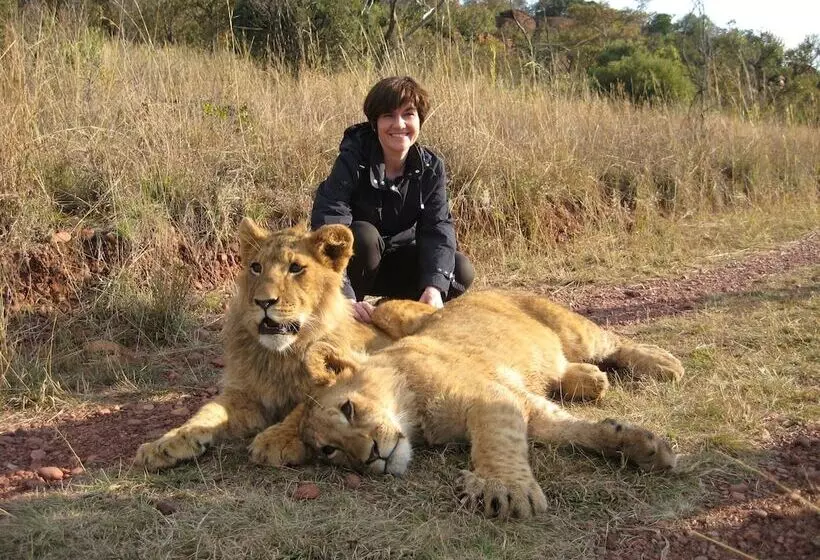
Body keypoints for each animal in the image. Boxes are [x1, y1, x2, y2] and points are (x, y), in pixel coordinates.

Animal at [135, 218, 434, 471]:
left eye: (296, 268)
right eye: (256, 267)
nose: (263, 302)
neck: (279, 356)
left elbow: (301, 408)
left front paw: (275, 439)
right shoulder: (245, 394)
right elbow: (207, 411)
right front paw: (166, 443)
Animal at [299, 290, 684, 519]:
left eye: (348, 409)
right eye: (329, 451)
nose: (371, 457)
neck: (414, 416)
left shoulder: (491, 398)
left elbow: (494, 442)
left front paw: (504, 488)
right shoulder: (525, 405)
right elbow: (573, 431)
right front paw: (642, 447)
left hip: (572, 329)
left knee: (614, 341)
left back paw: (663, 363)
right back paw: (590, 381)